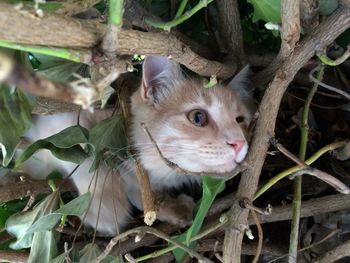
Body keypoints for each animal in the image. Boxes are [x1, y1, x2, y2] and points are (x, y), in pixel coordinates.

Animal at [22, 56, 254, 237]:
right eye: (198, 117)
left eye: (240, 120)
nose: (239, 142)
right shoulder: (58, 121)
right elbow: (87, 157)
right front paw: (104, 207)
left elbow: (144, 197)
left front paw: (171, 207)